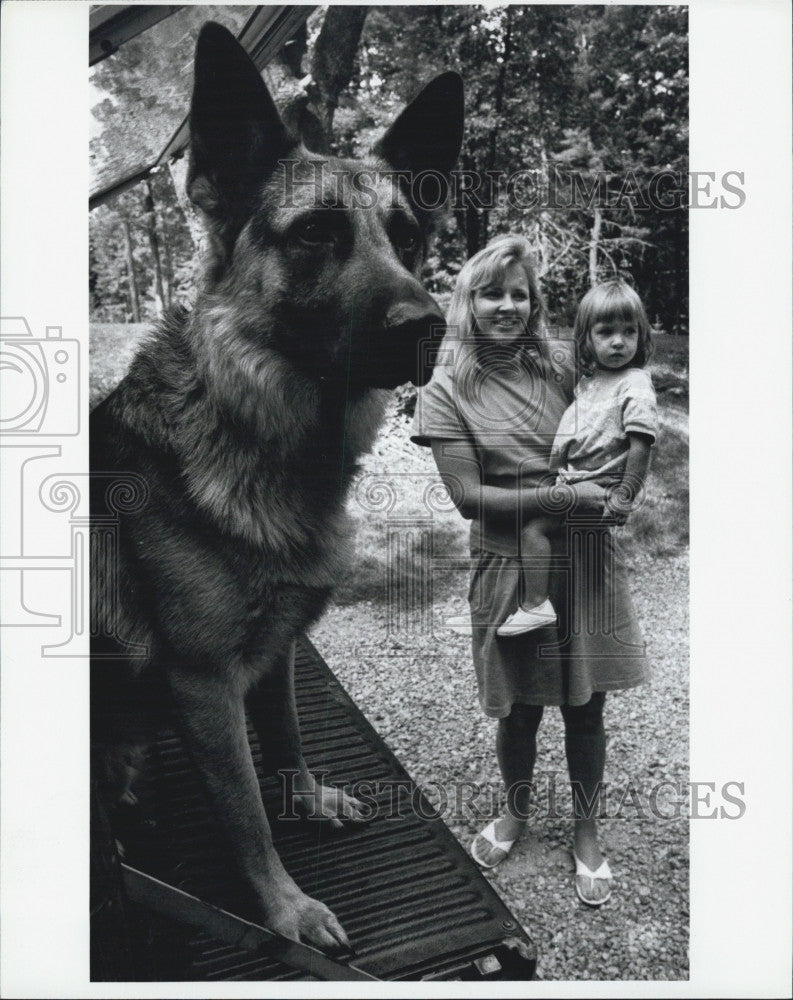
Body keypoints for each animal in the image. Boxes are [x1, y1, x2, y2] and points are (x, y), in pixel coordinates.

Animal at [92, 19, 464, 948]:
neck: (255, 437)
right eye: (315, 234)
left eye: (407, 237)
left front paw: (309, 800)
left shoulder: (276, 654)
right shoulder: (205, 686)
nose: (428, 326)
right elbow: (244, 811)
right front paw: (284, 910)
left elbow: (289, 740)